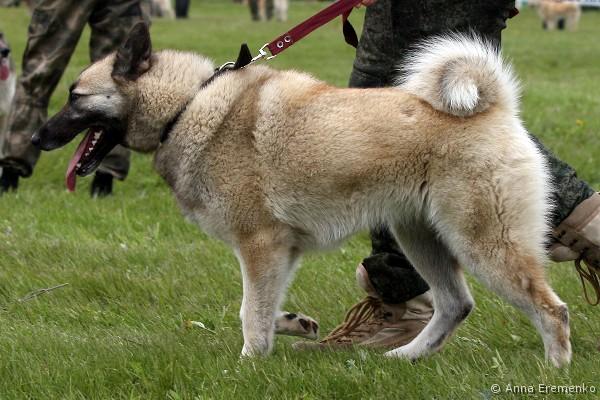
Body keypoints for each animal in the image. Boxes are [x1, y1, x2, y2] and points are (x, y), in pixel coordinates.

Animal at [34, 24, 572, 367]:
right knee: (455, 305)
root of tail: (496, 108)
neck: (188, 106)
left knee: (551, 309)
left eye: (75, 98)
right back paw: (405, 356)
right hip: (421, 238)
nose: (38, 138)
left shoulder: (260, 245)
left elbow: (250, 313)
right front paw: (289, 326)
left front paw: (248, 364)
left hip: (483, 244)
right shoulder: (278, 251)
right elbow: (261, 308)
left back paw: (555, 369)